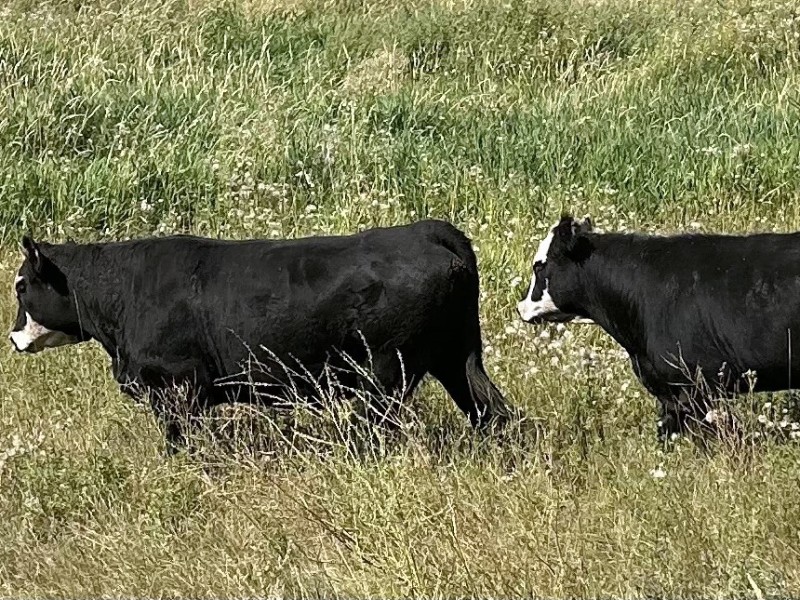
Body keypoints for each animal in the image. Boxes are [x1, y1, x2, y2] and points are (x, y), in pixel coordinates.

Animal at [9, 220, 510, 453]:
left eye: (20, 286)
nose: (13, 338)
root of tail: (424, 231)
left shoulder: (178, 389)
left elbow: (179, 445)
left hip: (387, 373)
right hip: (456, 357)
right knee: (493, 410)